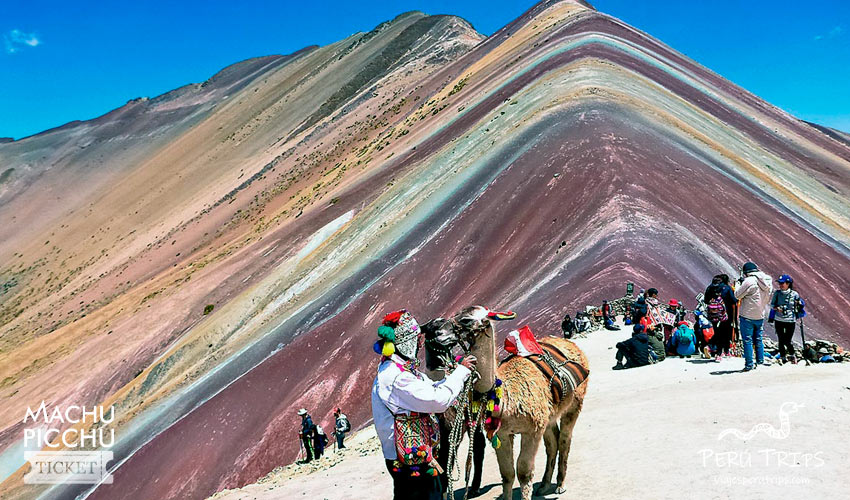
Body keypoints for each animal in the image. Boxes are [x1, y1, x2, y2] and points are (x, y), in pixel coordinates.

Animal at [451, 305, 590, 500]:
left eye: (466, 319)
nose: (443, 329)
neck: (505, 398)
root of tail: (570, 344)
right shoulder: (501, 434)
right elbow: (507, 473)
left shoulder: (531, 430)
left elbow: (524, 472)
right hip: (548, 415)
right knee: (552, 443)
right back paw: (544, 485)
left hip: (574, 404)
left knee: (564, 440)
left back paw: (560, 485)